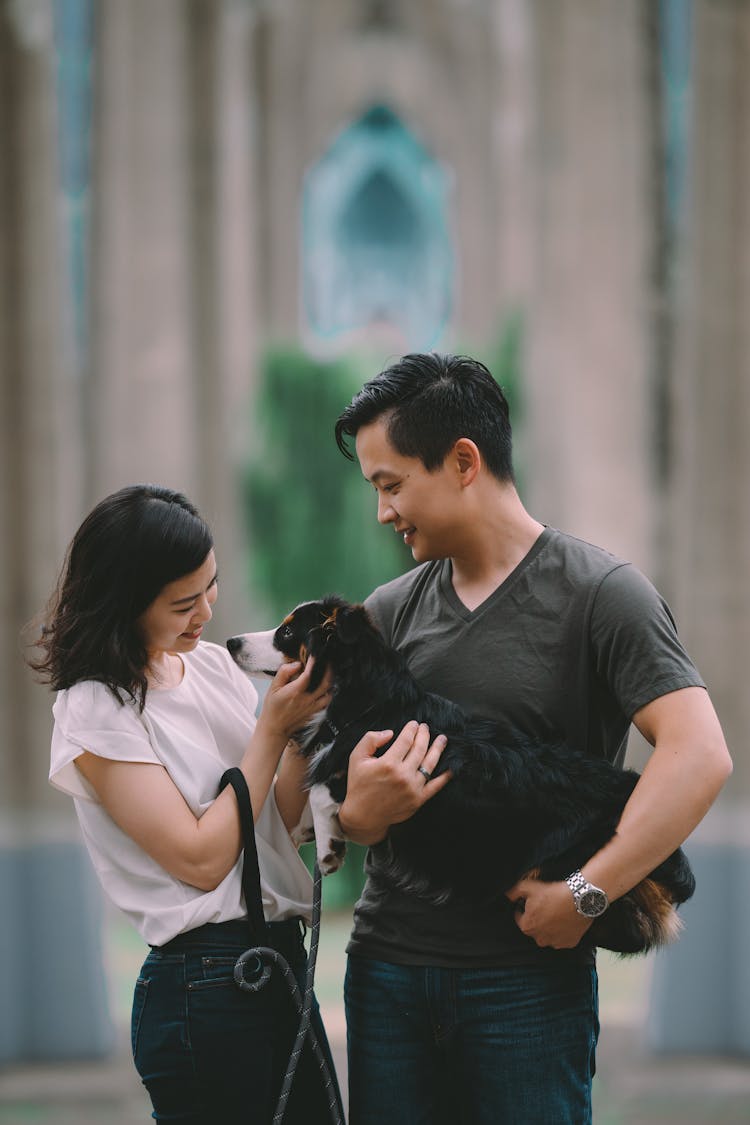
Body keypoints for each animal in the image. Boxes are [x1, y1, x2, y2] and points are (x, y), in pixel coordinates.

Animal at [226, 594, 697, 954]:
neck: (369, 701)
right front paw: (306, 828)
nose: (230, 640)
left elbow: (322, 786)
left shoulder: (365, 758)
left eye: (287, 634)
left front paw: (328, 846)